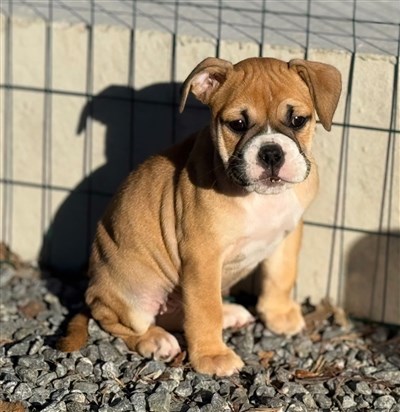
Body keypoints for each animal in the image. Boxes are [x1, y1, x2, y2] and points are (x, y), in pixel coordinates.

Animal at [58, 56, 341, 376]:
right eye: (238, 124)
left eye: (298, 120)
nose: (271, 153)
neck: (259, 198)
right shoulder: (203, 257)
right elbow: (205, 310)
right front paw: (212, 356)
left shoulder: (287, 235)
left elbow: (281, 275)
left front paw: (278, 314)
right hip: (131, 294)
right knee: (118, 322)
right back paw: (155, 340)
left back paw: (229, 312)